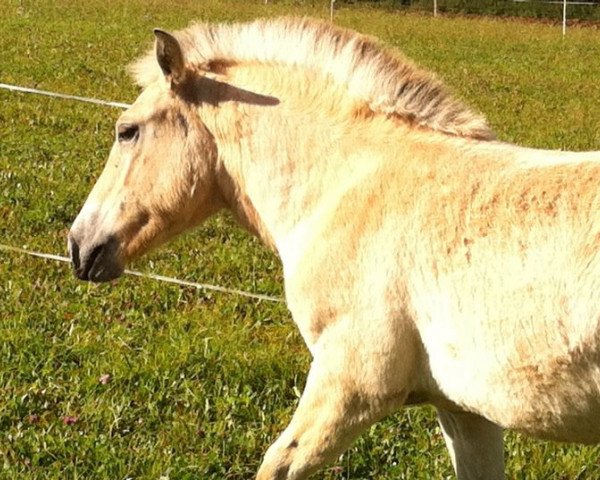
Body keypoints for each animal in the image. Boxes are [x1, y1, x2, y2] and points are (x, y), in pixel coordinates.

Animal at [67, 16, 600, 478]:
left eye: (128, 131)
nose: (79, 246)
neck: (349, 187)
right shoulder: (465, 411)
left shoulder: (351, 385)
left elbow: (277, 464)